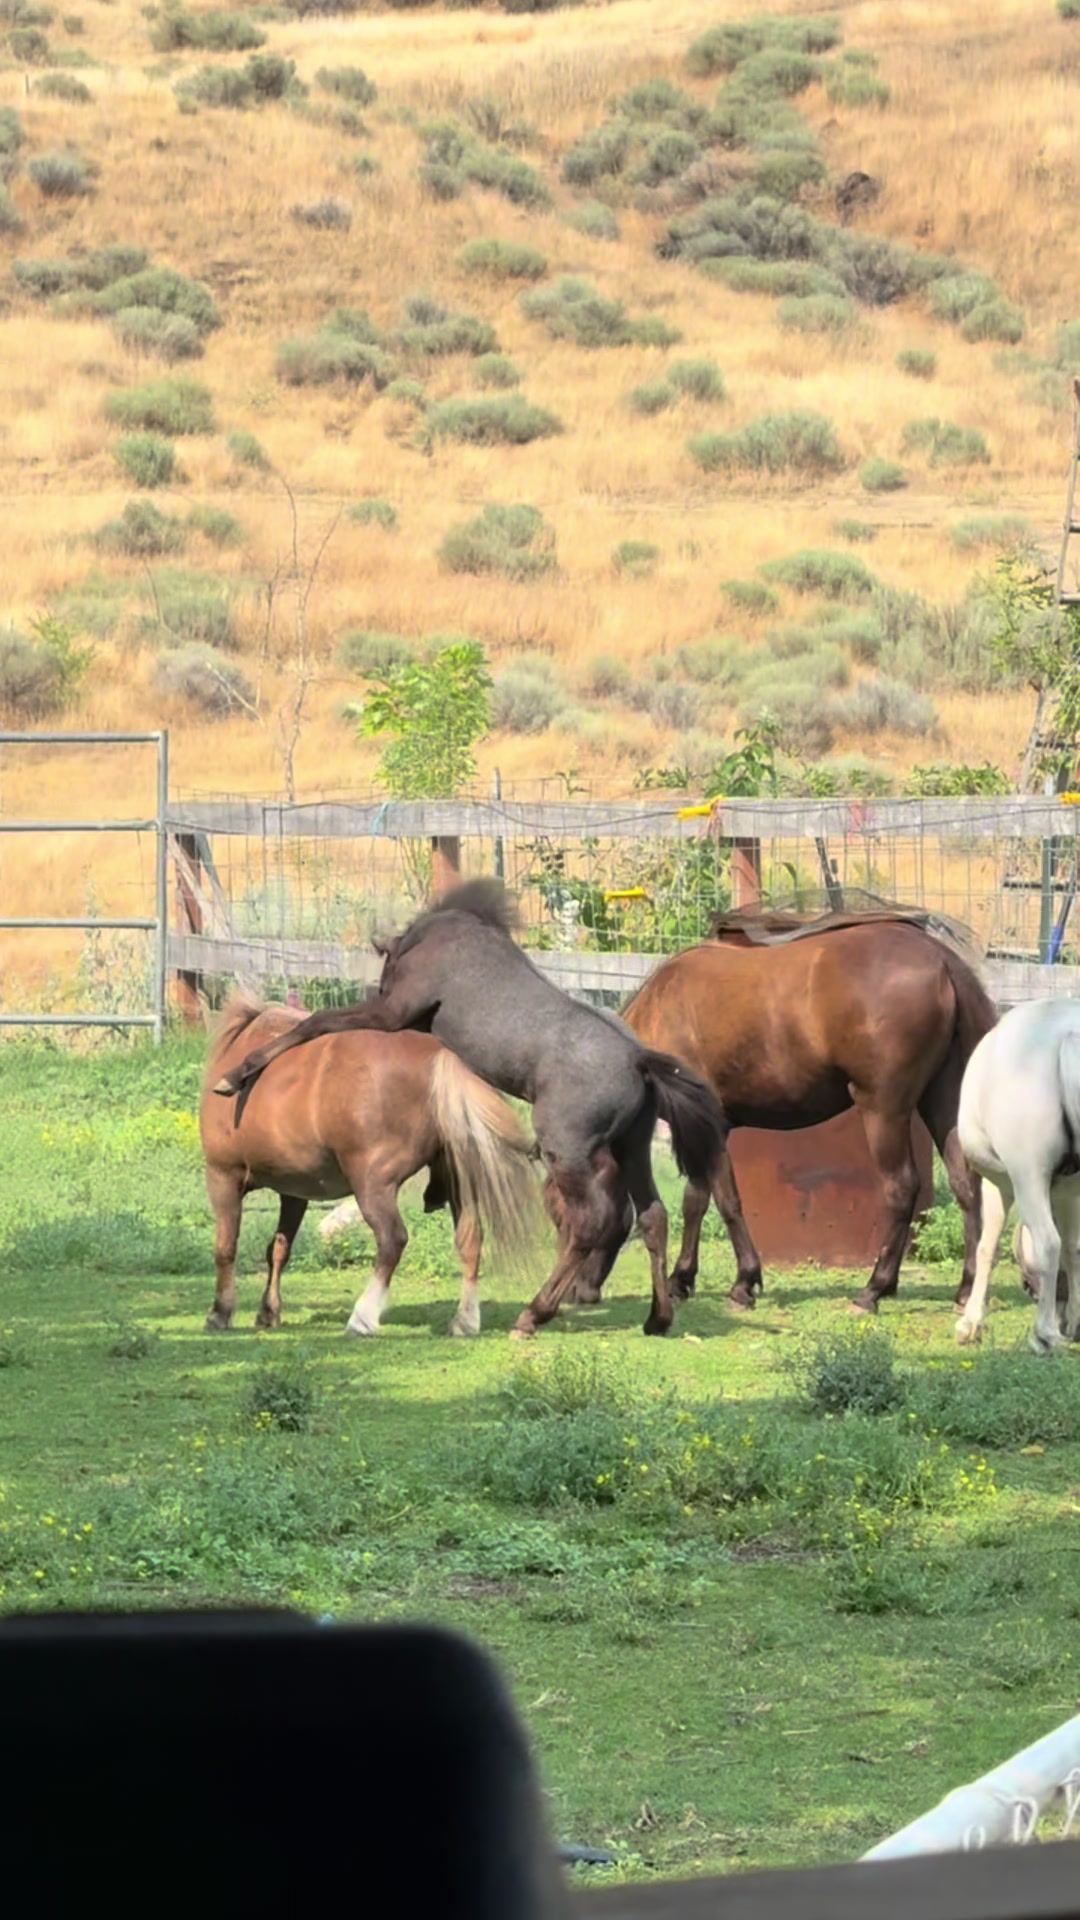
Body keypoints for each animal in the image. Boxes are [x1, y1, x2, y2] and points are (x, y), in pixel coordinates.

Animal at [200, 994, 540, 1338]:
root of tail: (440, 1053)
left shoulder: (223, 1176)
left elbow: (225, 1247)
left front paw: (220, 1313)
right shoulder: (294, 1192)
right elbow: (279, 1249)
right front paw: (268, 1311)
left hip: (372, 1185)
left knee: (392, 1240)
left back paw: (362, 1318)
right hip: (459, 1181)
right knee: (470, 1240)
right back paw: (465, 1320)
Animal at [618, 915, 997, 1315]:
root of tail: (941, 961)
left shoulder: (711, 1128)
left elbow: (726, 1201)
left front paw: (743, 1282)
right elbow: (696, 1200)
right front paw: (682, 1279)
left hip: (883, 1109)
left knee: (903, 1187)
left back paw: (874, 1289)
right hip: (943, 1102)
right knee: (965, 1183)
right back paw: (966, 1289)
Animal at [956, 998, 1080, 1353]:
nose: (1028, 1286)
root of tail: (1068, 1039)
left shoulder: (999, 1184)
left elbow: (987, 1247)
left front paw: (970, 1322)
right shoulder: (1068, 1191)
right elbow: (1073, 1249)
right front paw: (1074, 1321)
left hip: (1027, 1174)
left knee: (1048, 1243)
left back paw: (1044, 1334)